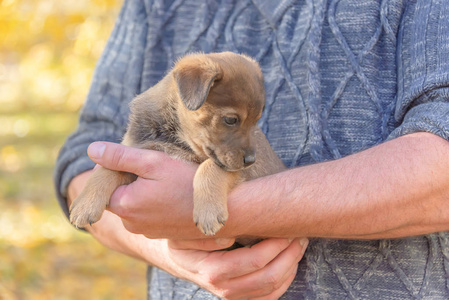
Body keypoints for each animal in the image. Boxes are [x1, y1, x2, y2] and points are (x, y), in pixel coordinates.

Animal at [70, 51, 288, 237]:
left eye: (256, 121)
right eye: (231, 120)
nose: (251, 160)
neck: (171, 133)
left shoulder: (238, 170)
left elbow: (209, 167)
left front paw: (208, 212)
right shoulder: (135, 151)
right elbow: (106, 169)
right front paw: (84, 204)